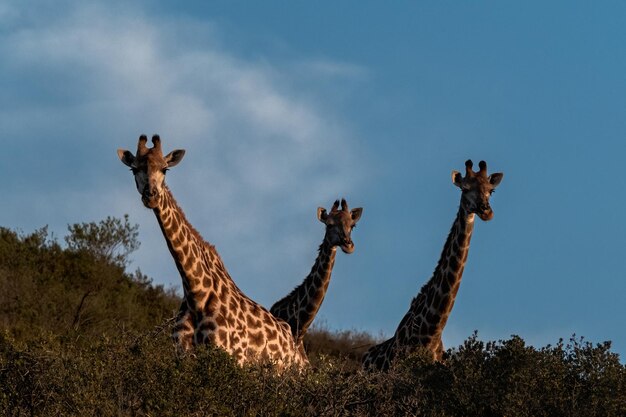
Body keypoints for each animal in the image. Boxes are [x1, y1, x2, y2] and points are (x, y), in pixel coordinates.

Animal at [117, 135, 308, 366]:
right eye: (134, 169)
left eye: (165, 169)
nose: (151, 196)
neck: (196, 292)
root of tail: (300, 353)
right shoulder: (182, 356)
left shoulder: (232, 357)